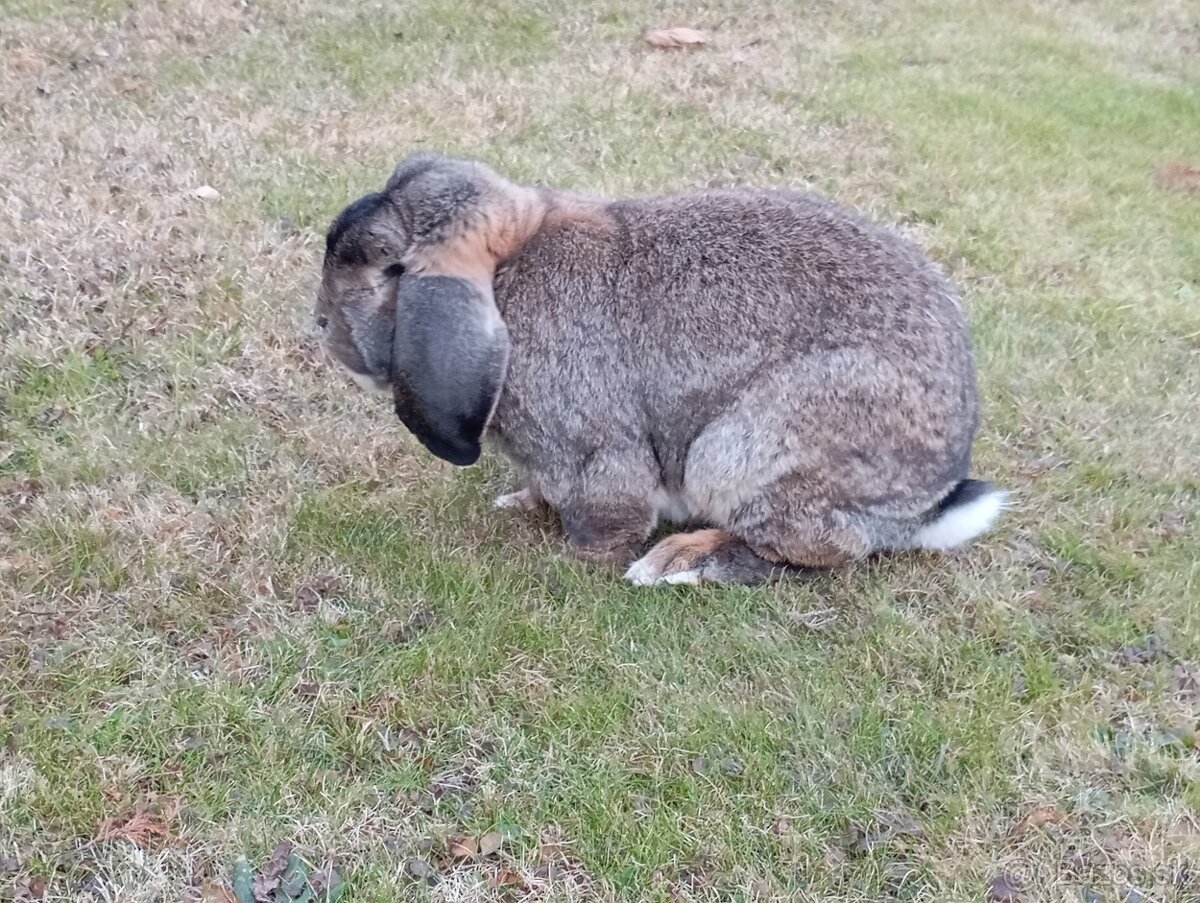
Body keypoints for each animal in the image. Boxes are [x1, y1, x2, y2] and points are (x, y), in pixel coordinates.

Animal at [314, 150, 1008, 585]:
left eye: (387, 267)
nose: (320, 325)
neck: (507, 276)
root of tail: (926, 504)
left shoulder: (594, 452)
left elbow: (608, 516)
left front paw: (574, 563)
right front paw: (518, 503)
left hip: (745, 449)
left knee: (825, 549)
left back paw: (679, 563)